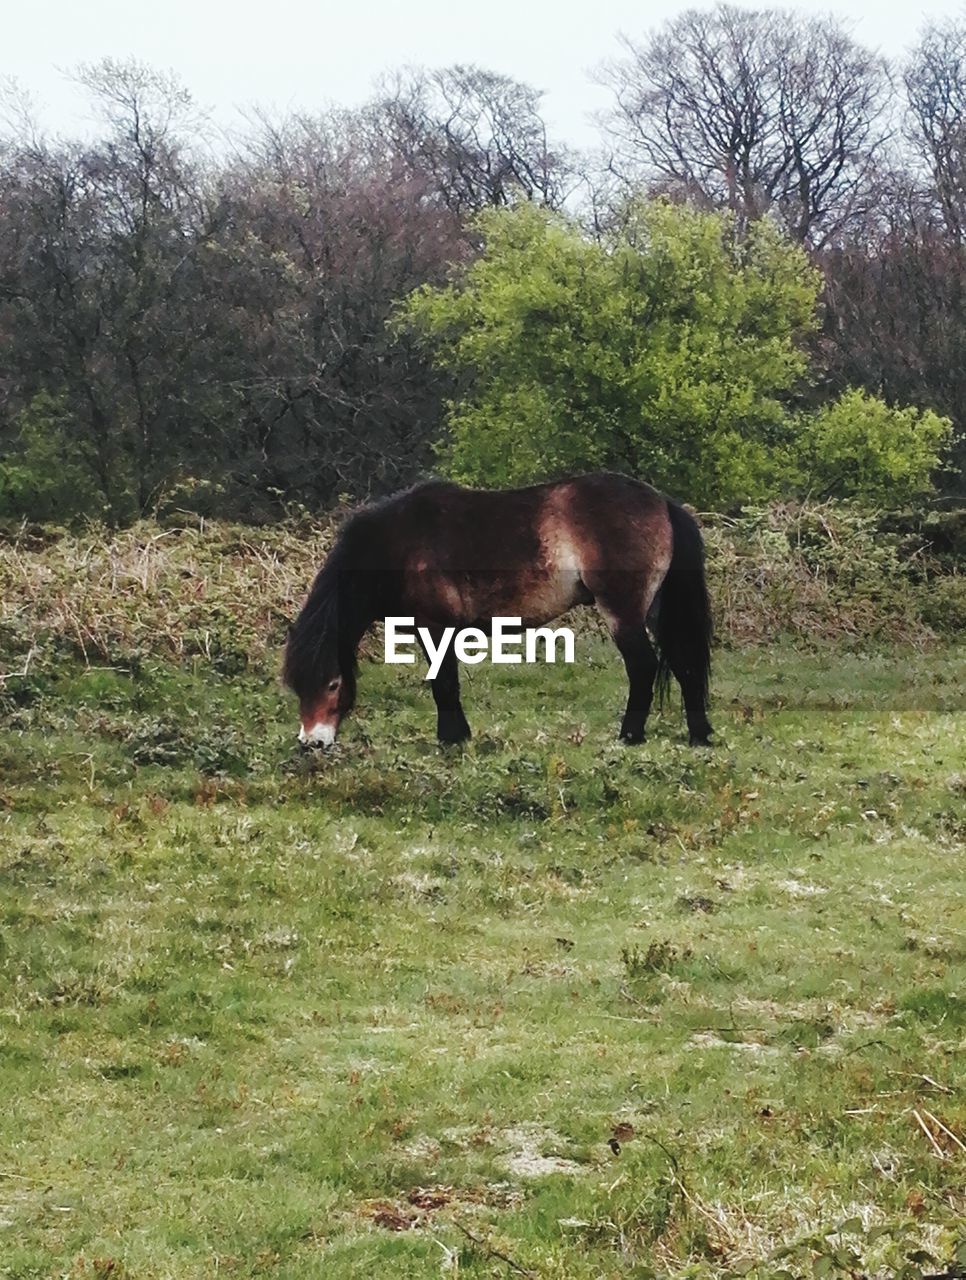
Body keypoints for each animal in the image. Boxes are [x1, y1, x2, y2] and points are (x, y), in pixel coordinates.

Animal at [282, 471, 716, 747]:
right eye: (296, 685)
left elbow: (443, 683)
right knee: (683, 663)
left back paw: (629, 736)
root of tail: (662, 502)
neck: (397, 547)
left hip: (623, 612)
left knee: (643, 667)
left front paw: (452, 739)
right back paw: (700, 735)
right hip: (655, 609)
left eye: (333, 684)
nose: (312, 743)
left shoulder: (435, 626)